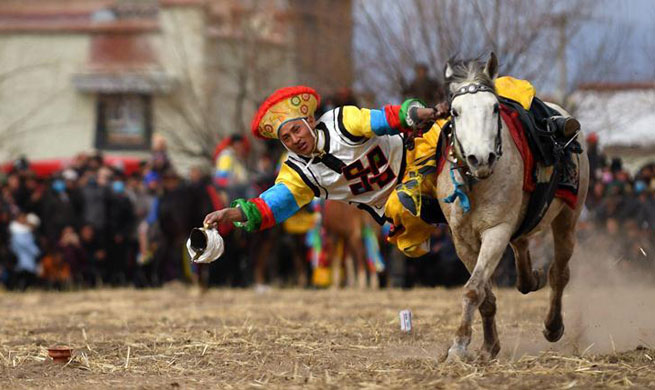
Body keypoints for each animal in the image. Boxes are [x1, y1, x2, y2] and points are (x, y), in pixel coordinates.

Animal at [438, 53, 592, 362]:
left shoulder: (496, 231)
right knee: (522, 249)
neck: (476, 182)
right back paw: (531, 278)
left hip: (568, 220)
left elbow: (473, 290)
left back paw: (553, 325)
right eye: (455, 112)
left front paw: (459, 346)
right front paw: (487, 346)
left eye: (494, 108)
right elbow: (484, 294)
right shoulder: (461, 240)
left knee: (559, 273)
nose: (480, 158)